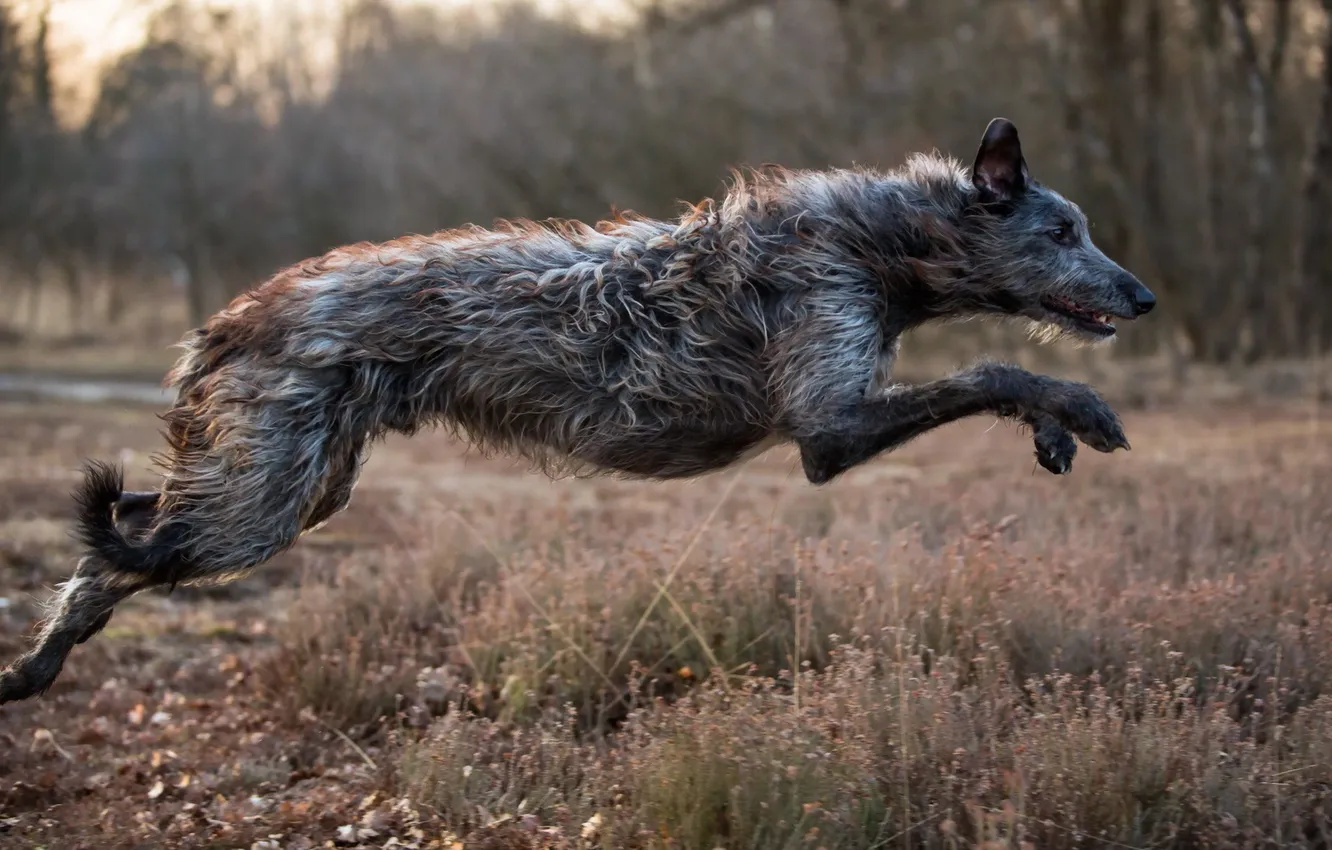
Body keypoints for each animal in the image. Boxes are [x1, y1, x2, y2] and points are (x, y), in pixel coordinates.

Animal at [0, 119, 1150, 703]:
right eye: (1063, 231)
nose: (1142, 296)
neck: (878, 241)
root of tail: (232, 316)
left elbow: (987, 374)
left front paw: (1057, 425)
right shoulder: (829, 423)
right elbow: (995, 369)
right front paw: (1077, 409)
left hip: (299, 482)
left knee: (134, 528)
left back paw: (34, 668)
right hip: (264, 500)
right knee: (114, 553)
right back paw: (37, 662)